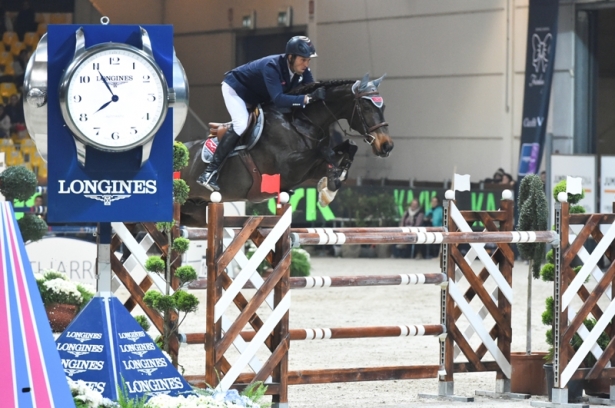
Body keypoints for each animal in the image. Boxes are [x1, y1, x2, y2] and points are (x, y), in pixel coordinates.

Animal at [180, 73, 392, 226]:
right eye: (366, 107)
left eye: (383, 107)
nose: (386, 146)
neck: (302, 122)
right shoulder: (287, 169)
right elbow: (324, 152)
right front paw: (329, 186)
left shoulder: (309, 171)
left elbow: (348, 148)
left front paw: (331, 185)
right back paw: (208, 177)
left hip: (195, 211)